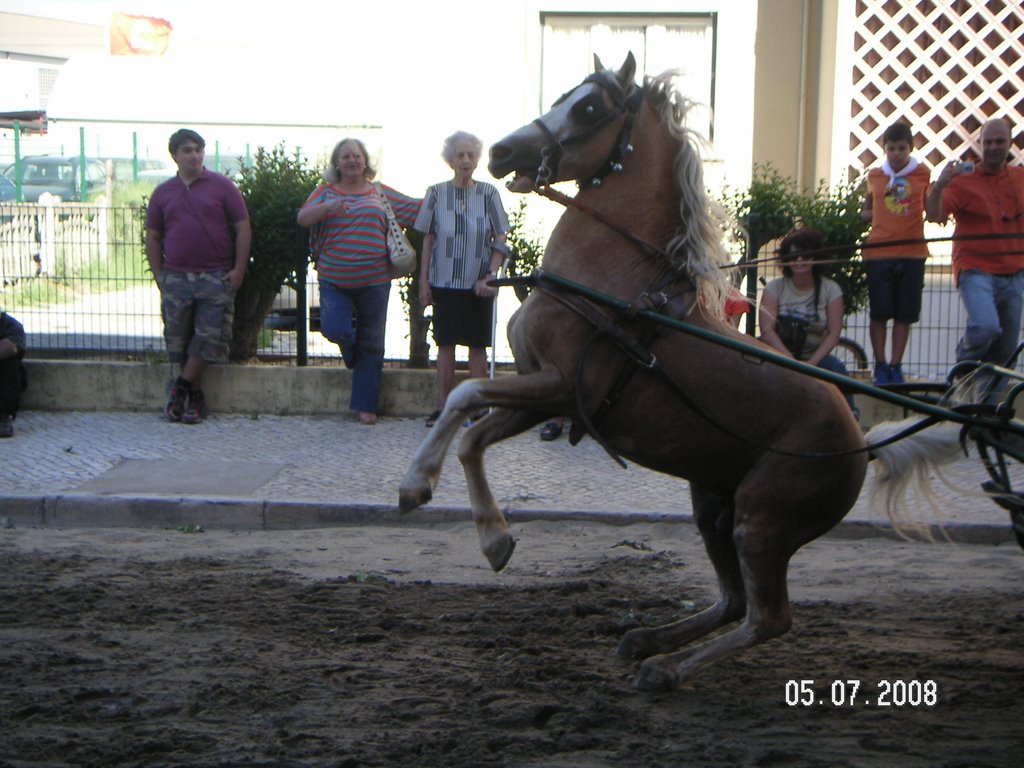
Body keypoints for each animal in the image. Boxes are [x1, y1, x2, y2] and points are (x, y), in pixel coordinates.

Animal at [397, 54, 864, 692]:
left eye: (590, 107)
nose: (501, 152)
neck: (610, 282)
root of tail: (861, 443)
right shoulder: (548, 397)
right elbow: (471, 434)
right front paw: (490, 534)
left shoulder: (558, 386)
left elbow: (463, 393)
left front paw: (423, 489)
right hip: (712, 505)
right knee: (733, 601)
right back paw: (648, 639)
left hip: (762, 519)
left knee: (768, 618)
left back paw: (665, 668)